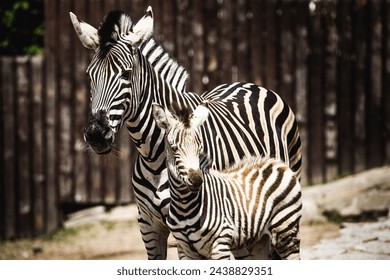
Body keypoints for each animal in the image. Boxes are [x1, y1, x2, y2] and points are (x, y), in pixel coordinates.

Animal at [152, 103, 302, 260]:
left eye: (200, 148)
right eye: (174, 148)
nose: (197, 180)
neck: (184, 206)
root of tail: (276, 162)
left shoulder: (220, 244)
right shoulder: (185, 250)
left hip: (285, 229)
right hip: (259, 240)